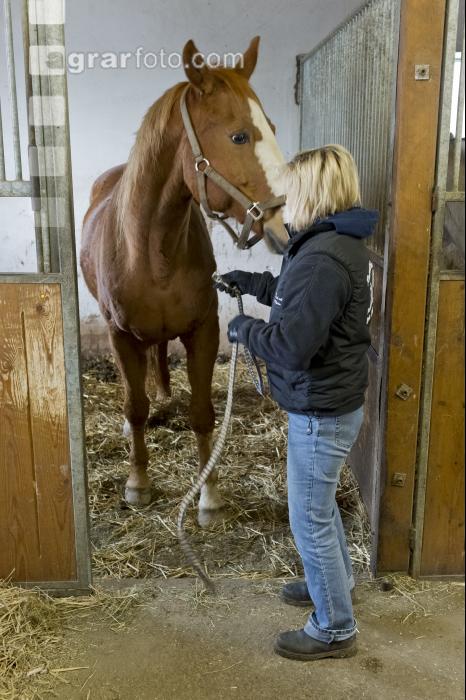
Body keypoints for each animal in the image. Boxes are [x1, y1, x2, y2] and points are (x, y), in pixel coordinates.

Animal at [80, 37, 287, 518]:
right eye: (238, 135)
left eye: (270, 127)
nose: (285, 223)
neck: (151, 250)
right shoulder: (119, 335)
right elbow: (134, 407)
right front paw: (137, 483)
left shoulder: (203, 330)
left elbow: (202, 411)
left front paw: (208, 495)